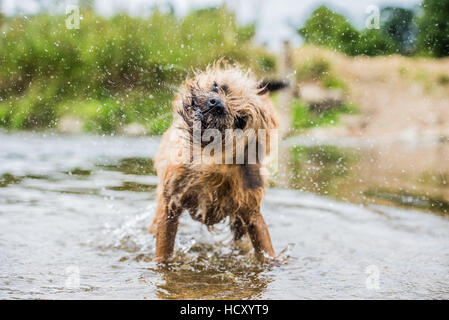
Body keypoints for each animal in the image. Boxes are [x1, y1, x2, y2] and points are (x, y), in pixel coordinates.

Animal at [149, 62, 282, 262]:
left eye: (241, 121)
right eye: (218, 87)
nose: (218, 104)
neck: (208, 162)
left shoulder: (251, 214)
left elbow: (265, 249)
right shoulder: (170, 206)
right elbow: (163, 251)